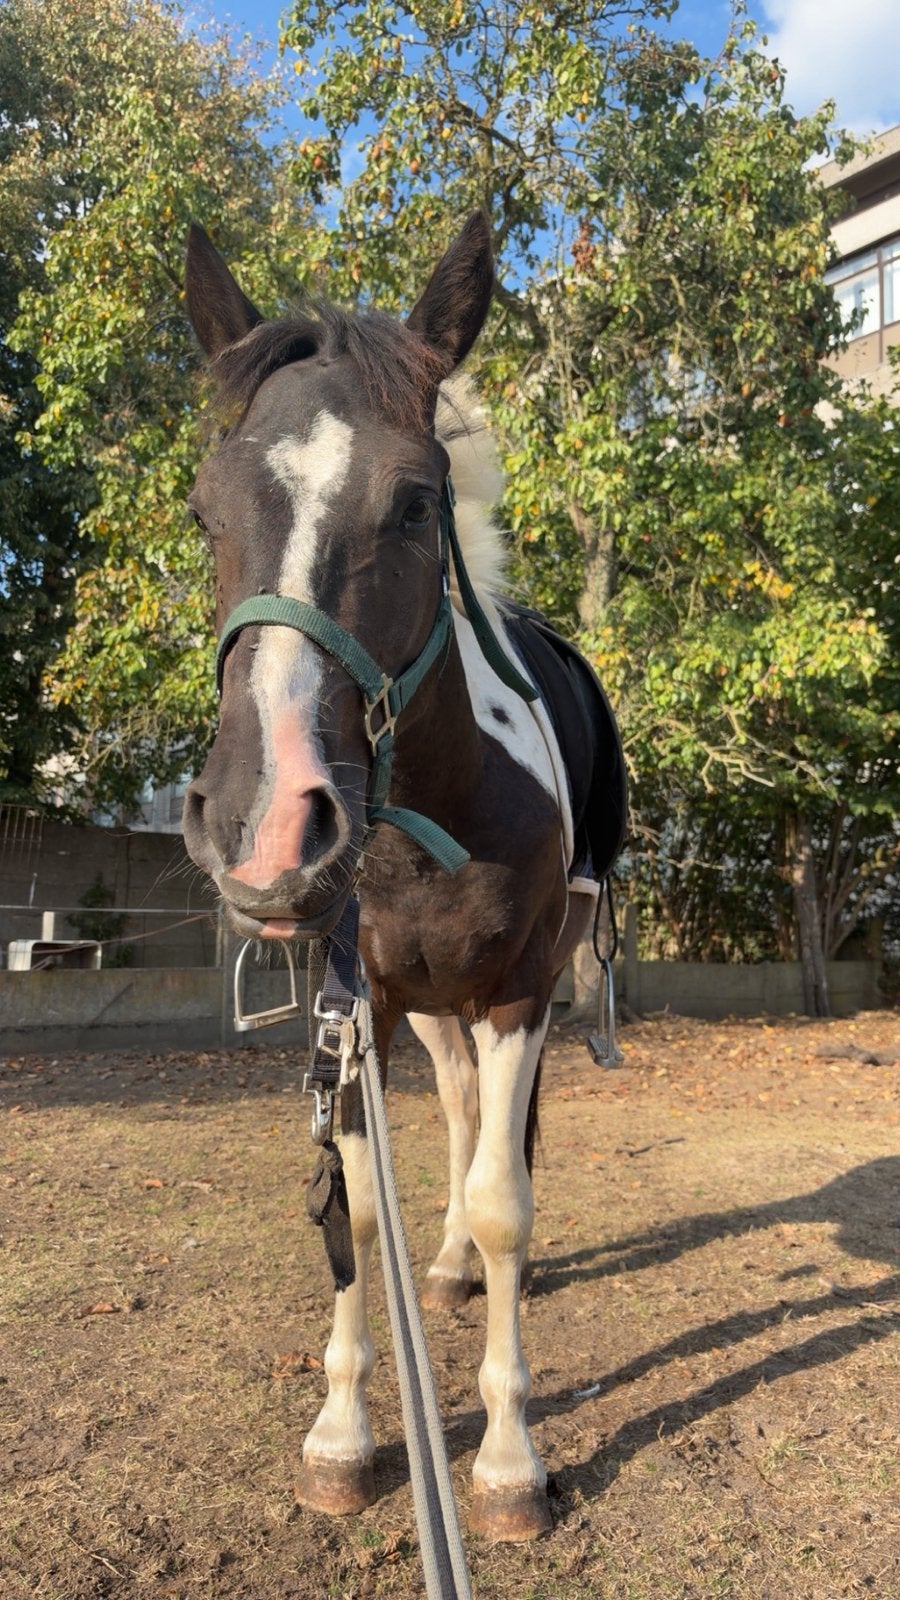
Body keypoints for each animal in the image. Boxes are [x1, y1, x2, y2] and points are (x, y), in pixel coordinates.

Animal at [181, 213, 625, 1542]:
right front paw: (342, 1433)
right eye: (208, 509)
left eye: (417, 502)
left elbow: (506, 1200)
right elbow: (357, 1207)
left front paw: (512, 1460)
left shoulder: (522, 989)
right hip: (427, 1010)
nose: (268, 824)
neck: (434, 803)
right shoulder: (359, 1008)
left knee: (497, 1143)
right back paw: (446, 1268)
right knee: (467, 1115)